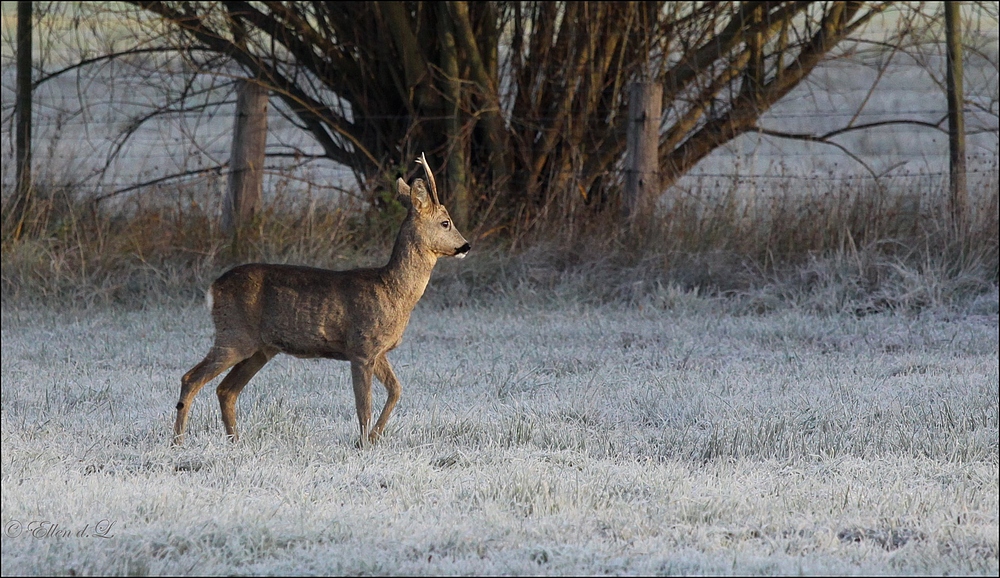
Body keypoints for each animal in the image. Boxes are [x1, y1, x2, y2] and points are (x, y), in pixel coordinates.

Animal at [172, 153, 468, 446]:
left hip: (260, 348)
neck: (393, 291)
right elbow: (364, 406)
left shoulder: (379, 350)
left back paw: (235, 441)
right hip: (234, 335)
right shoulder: (361, 348)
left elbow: (396, 390)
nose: (466, 246)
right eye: (446, 222)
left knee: (226, 390)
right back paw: (178, 442)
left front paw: (373, 438)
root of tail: (213, 289)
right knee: (191, 378)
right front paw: (363, 444)